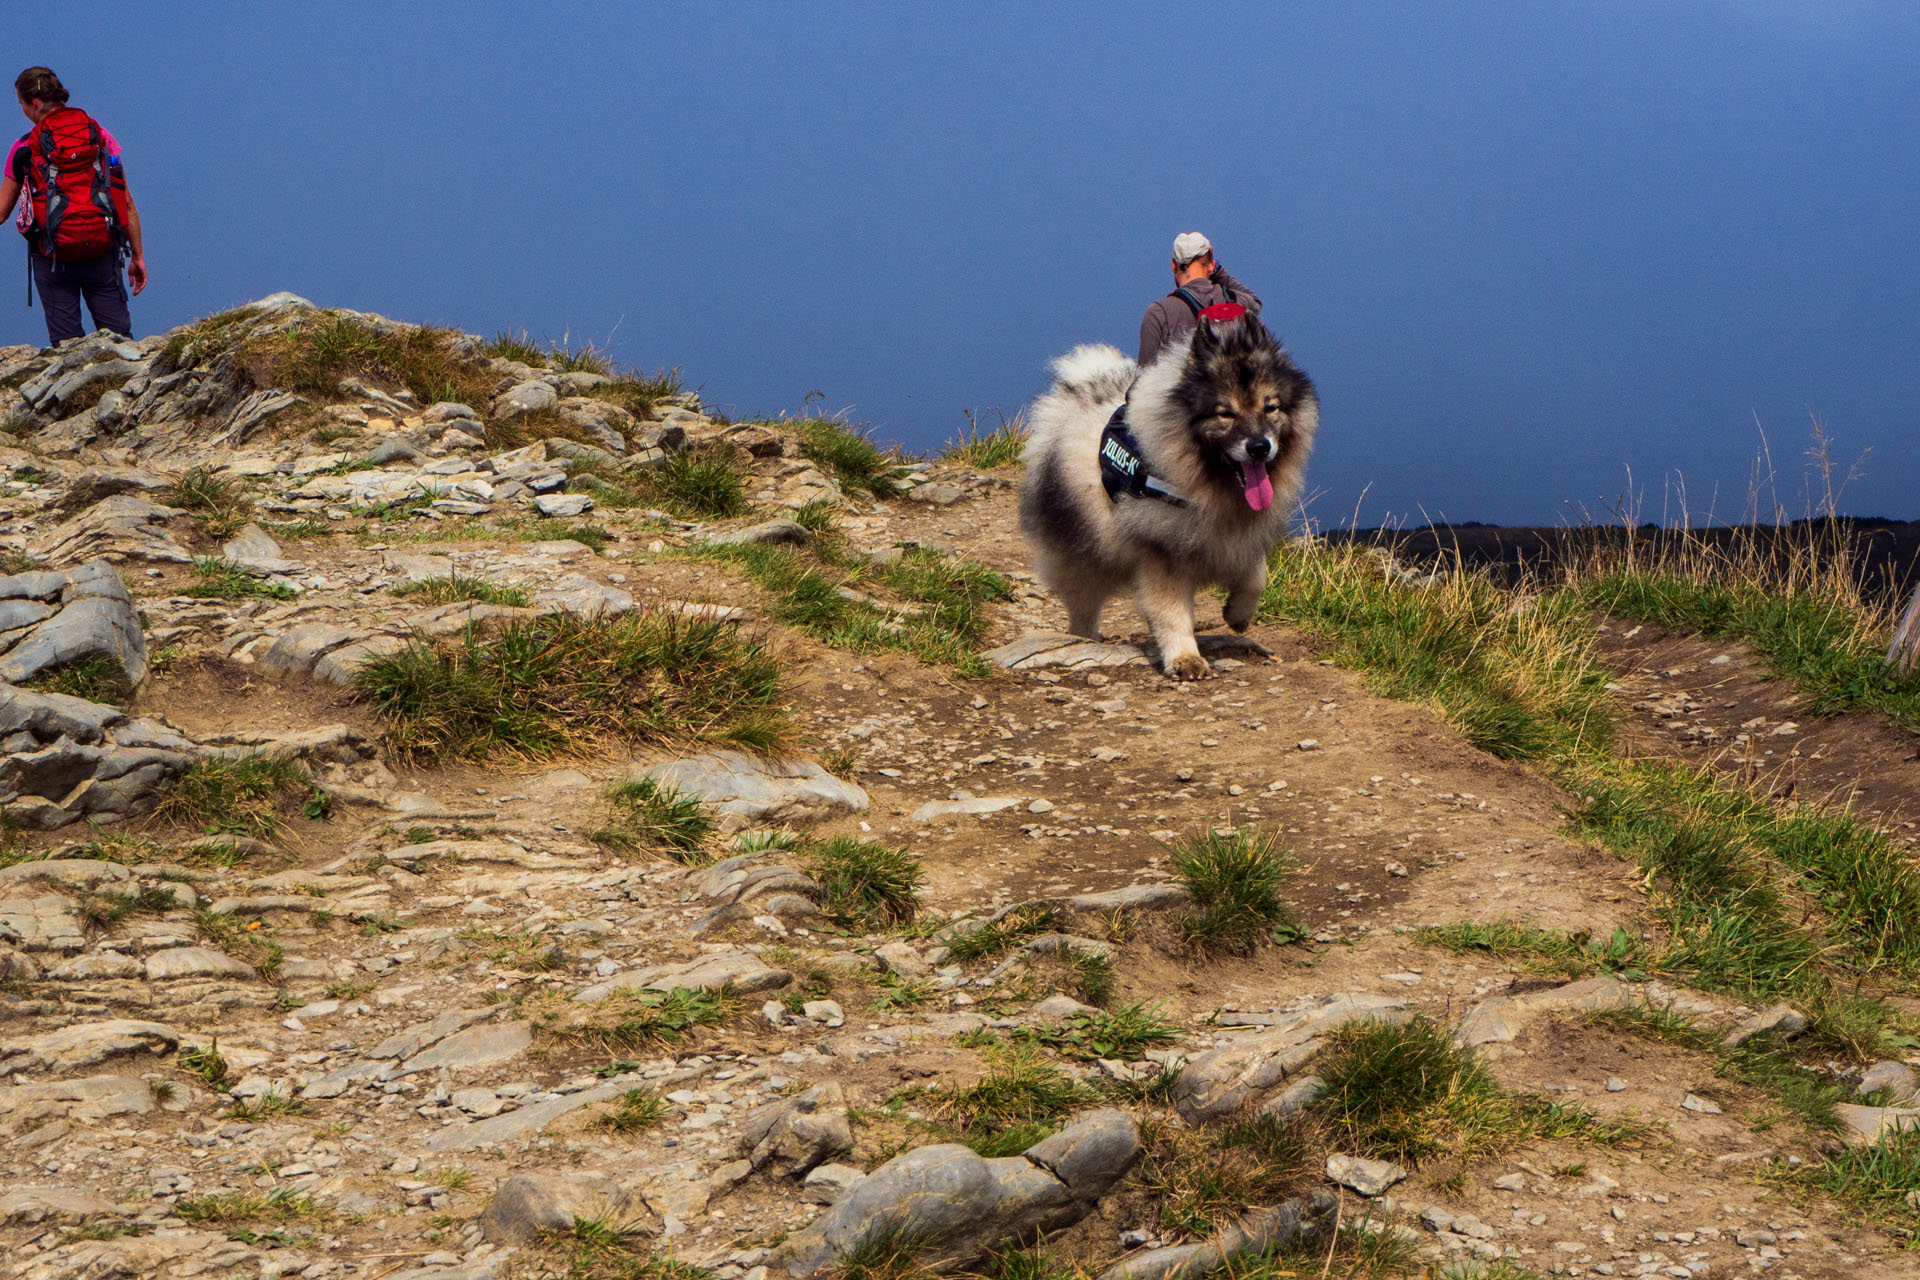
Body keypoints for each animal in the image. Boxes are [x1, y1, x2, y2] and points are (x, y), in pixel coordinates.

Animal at [1021, 314, 1320, 679]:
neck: (1209, 485)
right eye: (1226, 413)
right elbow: (1172, 611)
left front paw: (1238, 614)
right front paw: (1185, 657)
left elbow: (1256, 576)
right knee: (1083, 603)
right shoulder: (1164, 551)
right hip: (1085, 550)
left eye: (1271, 407)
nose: (1260, 447)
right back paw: (1083, 638)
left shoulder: (1238, 537)